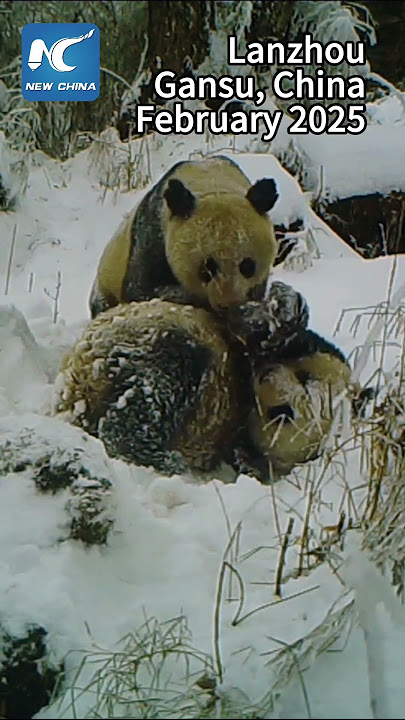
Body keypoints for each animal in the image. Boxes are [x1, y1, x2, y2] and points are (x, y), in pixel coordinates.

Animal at [89, 155, 279, 318]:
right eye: (206, 268)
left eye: (248, 265)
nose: (228, 303)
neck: (212, 185)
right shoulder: (153, 232)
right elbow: (139, 290)